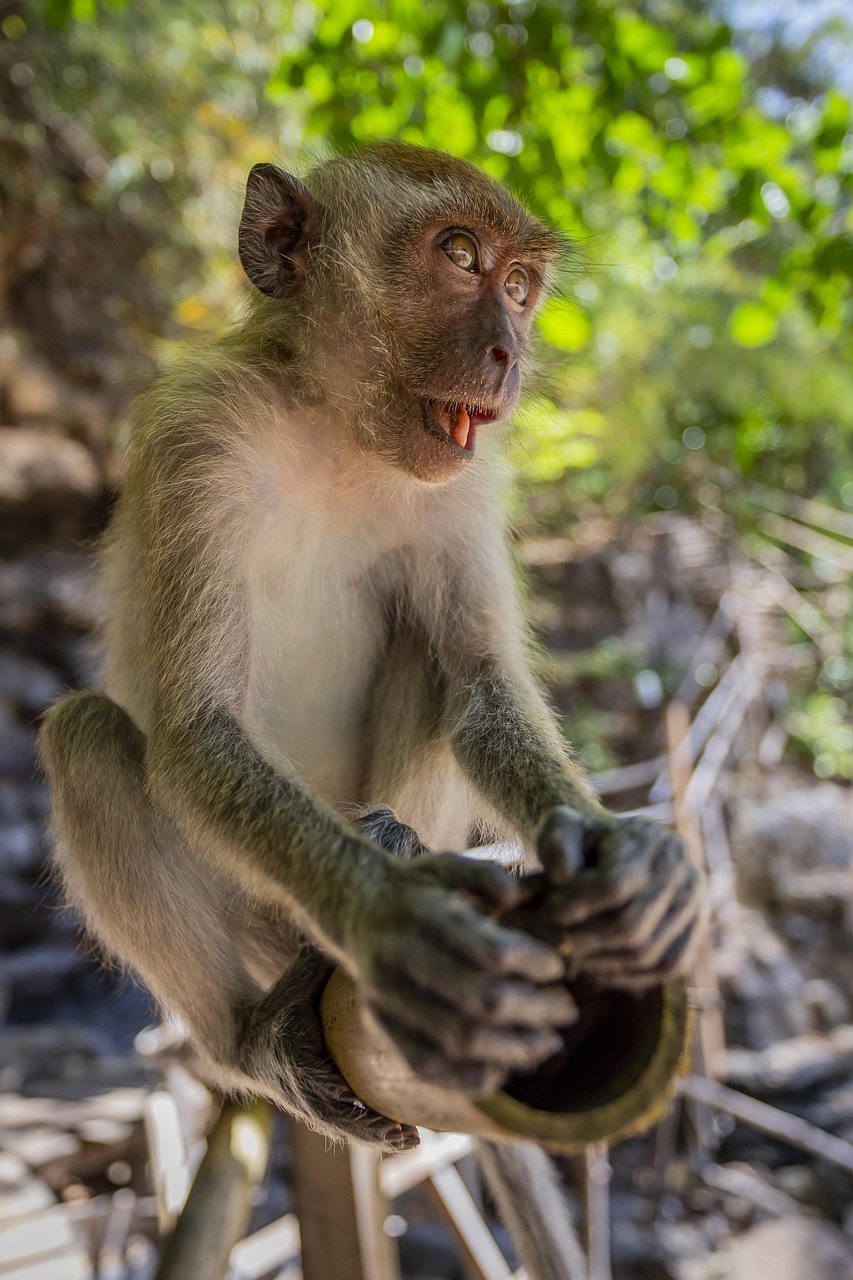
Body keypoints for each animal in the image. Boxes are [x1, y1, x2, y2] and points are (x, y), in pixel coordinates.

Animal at [39, 145, 701, 1280]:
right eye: (460, 255)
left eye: (520, 285)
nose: (507, 350)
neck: (336, 431)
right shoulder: (194, 435)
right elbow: (196, 731)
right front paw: (390, 920)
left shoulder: (465, 486)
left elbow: (476, 682)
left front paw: (617, 853)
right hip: (254, 916)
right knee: (86, 737)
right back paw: (253, 1035)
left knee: (429, 662)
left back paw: (402, 839)